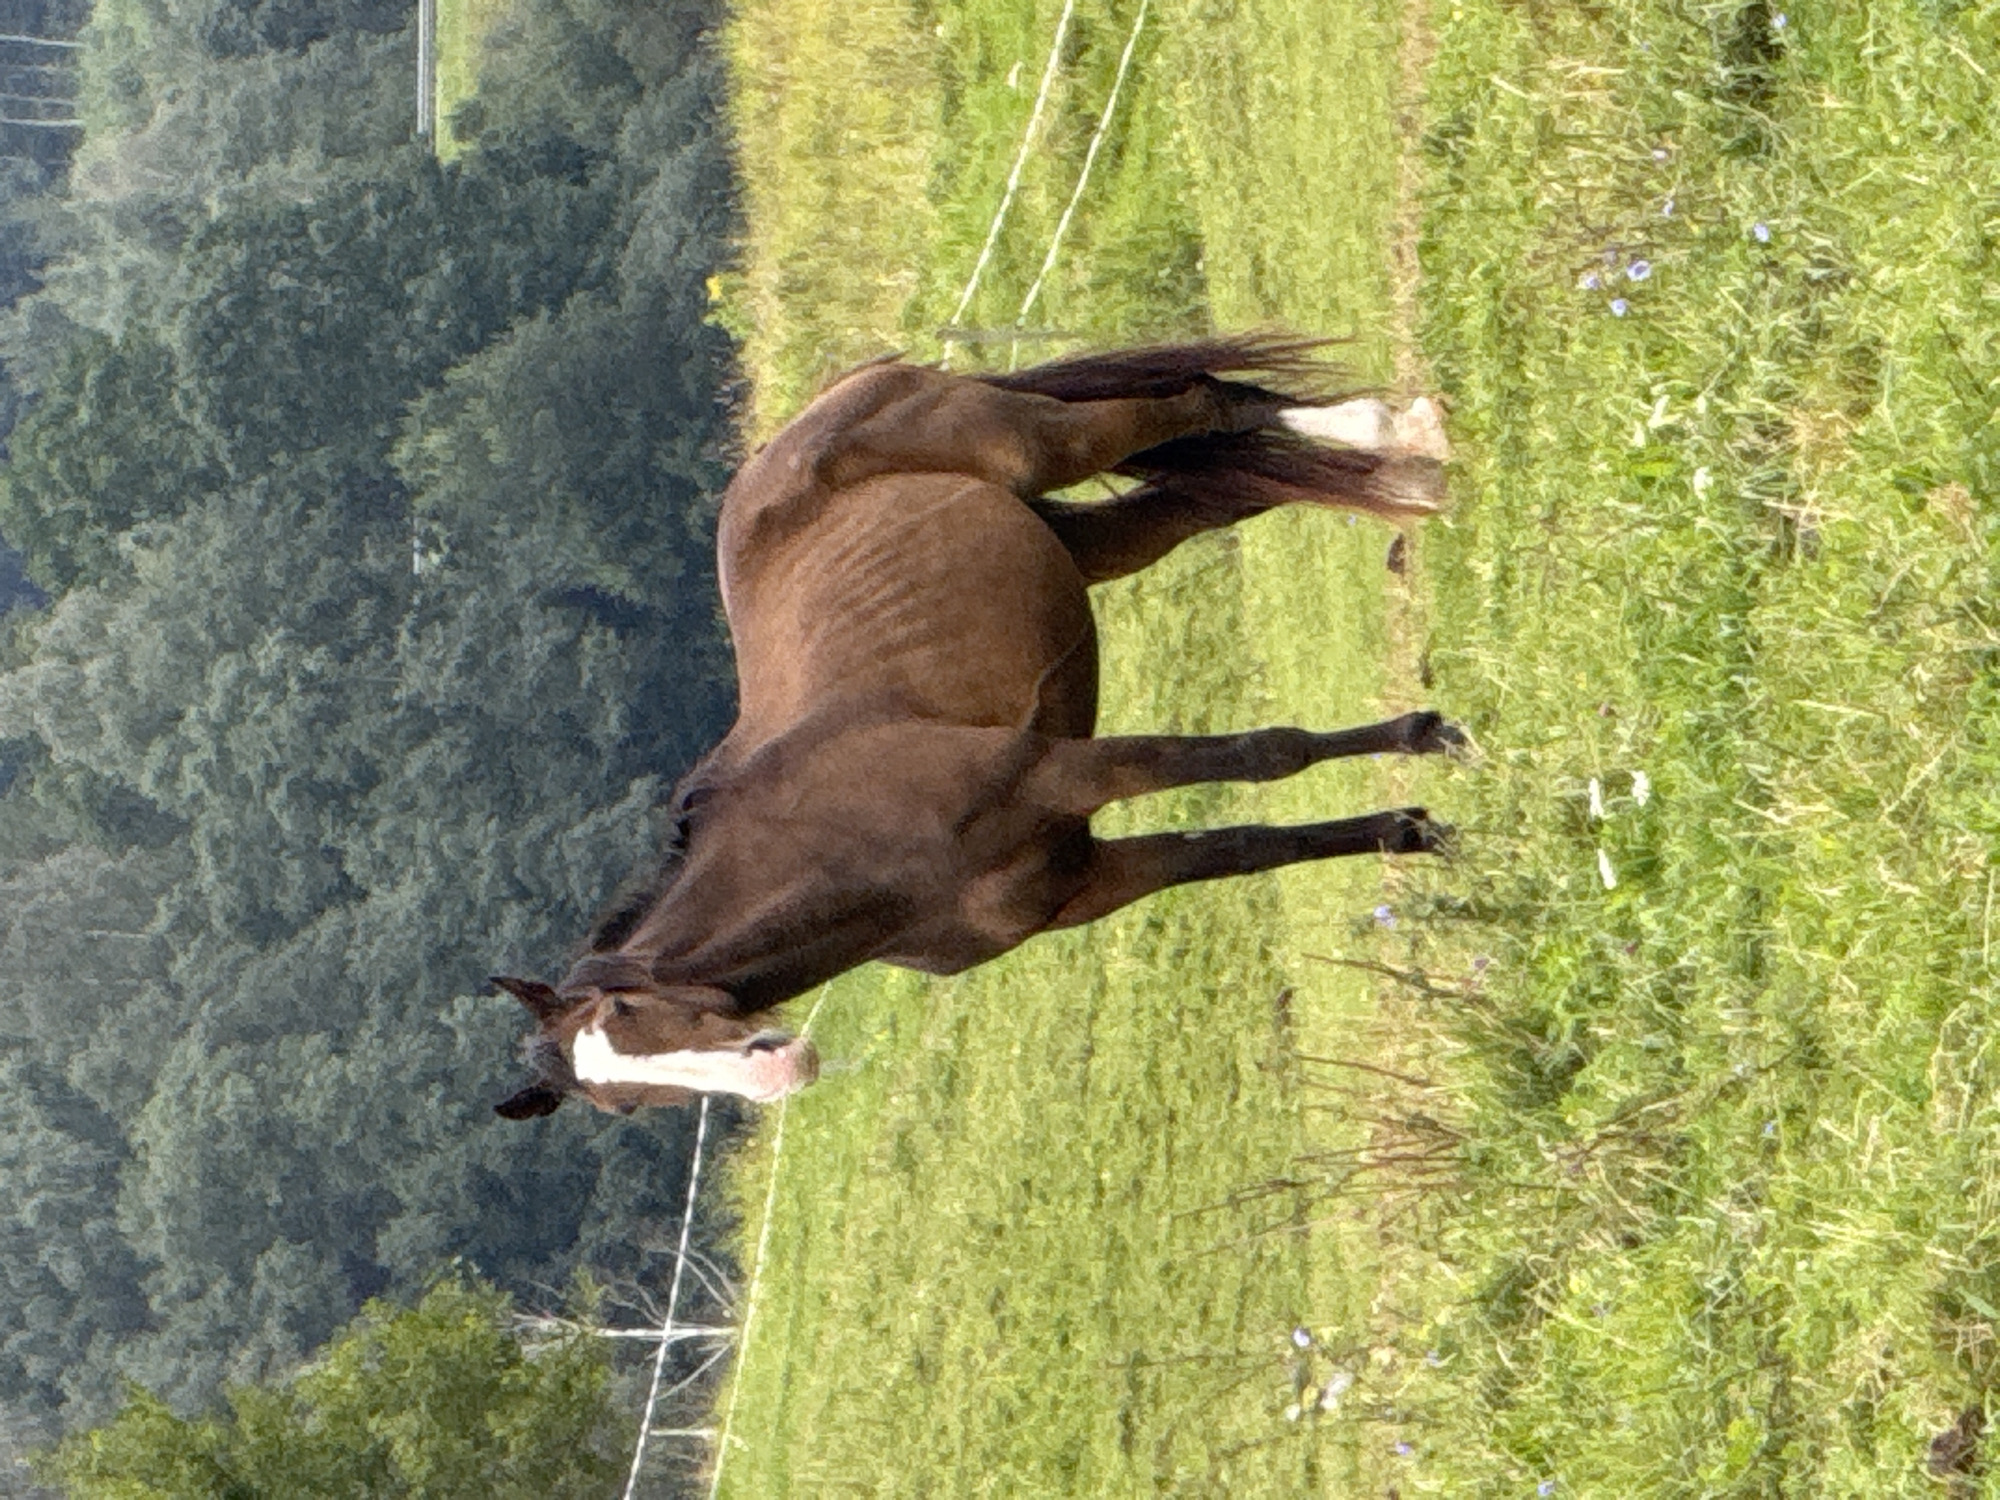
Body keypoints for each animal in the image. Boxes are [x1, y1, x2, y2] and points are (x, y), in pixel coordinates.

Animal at [490, 337, 1459, 1118]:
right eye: (625, 1104)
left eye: (626, 1010)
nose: (776, 1069)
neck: (855, 849)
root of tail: (820, 410)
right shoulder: (1089, 882)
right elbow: (1253, 847)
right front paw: (1411, 831)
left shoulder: (1071, 771)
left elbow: (1268, 756)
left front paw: (1432, 738)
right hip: (1092, 544)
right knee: (1215, 487)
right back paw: (1411, 476)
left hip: (1045, 446)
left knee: (1199, 402)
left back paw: (1408, 433)